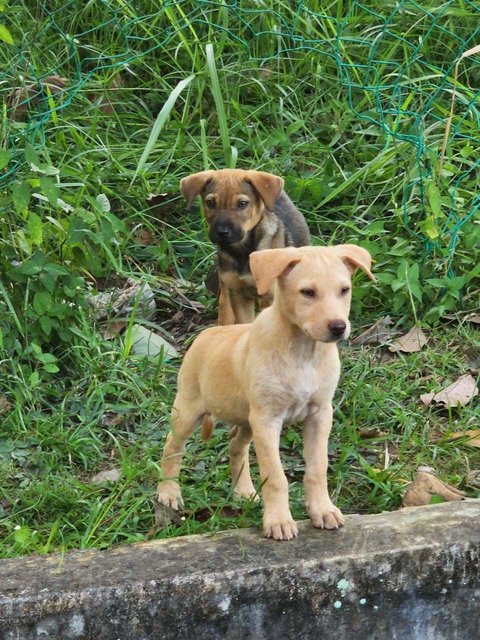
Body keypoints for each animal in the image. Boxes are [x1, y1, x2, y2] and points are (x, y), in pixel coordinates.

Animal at [158, 245, 376, 540]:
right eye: (307, 292)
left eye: (344, 290)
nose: (338, 327)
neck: (303, 351)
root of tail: (205, 335)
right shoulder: (267, 419)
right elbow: (275, 476)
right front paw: (279, 520)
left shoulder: (319, 414)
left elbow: (317, 468)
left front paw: (322, 510)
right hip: (189, 410)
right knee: (172, 447)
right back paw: (168, 493)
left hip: (247, 420)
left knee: (235, 445)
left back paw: (243, 491)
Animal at [180, 168, 312, 324]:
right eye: (210, 202)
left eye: (242, 203)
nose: (222, 232)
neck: (242, 251)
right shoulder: (238, 294)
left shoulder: (269, 296)